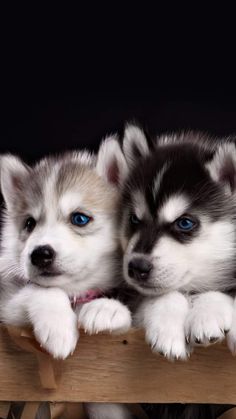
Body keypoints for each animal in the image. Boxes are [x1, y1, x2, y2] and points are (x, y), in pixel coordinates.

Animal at [119, 124, 236, 360]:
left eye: (185, 223)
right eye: (134, 219)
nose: (137, 267)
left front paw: (207, 315)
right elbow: (164, 294)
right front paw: (168, 327)